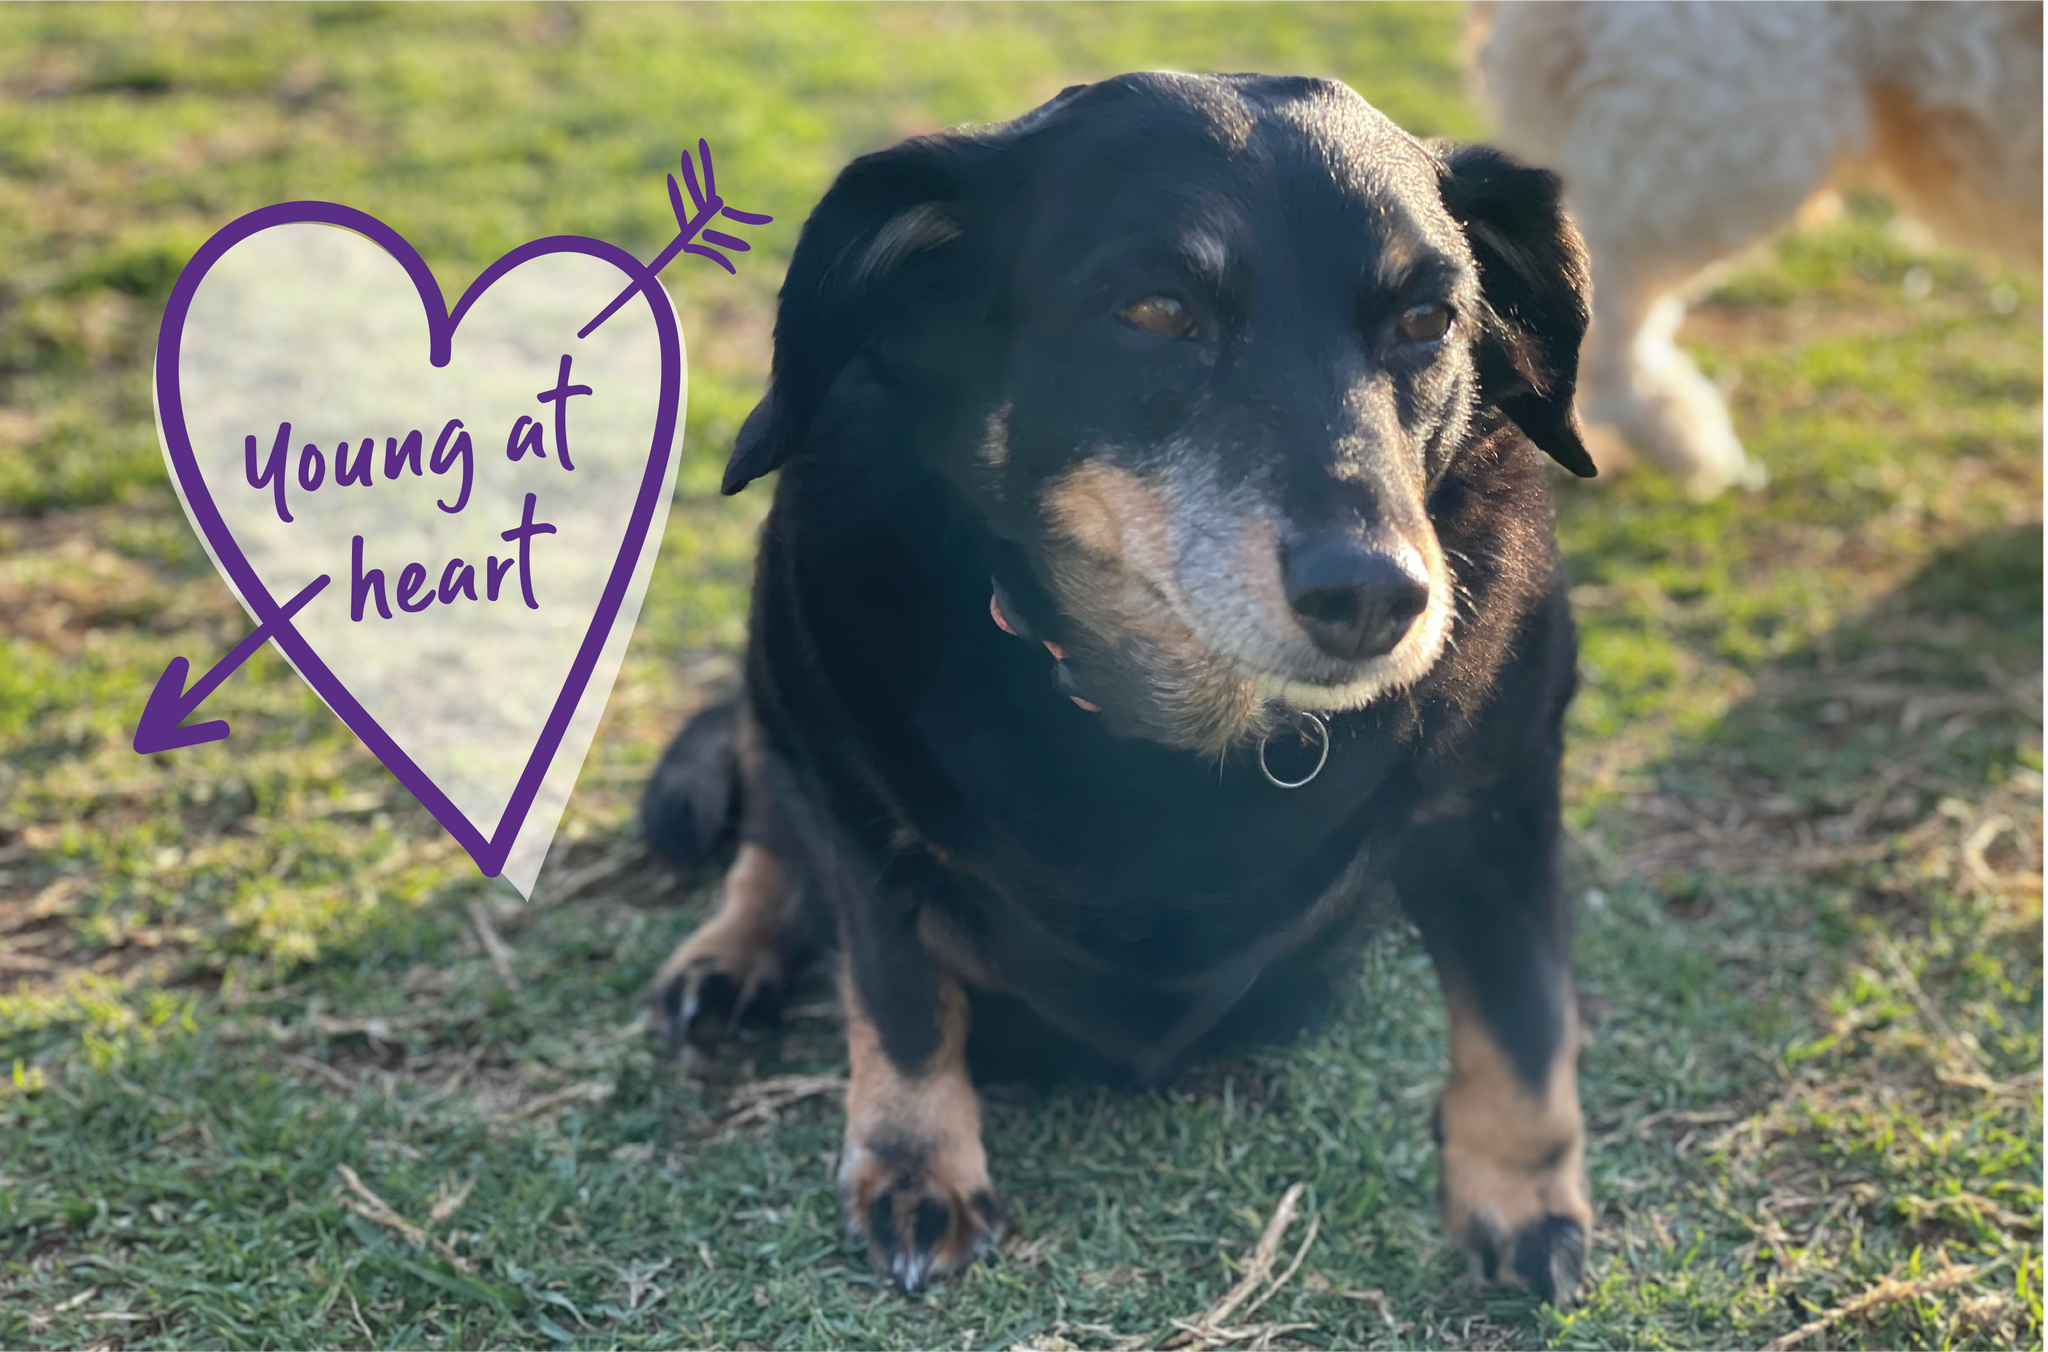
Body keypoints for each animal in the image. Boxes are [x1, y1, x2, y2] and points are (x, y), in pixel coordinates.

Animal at [638, 71, 1597, 1302]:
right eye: (1154, 311)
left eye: (1430, 321)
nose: (1379, 594)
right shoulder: (864, 812)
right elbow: (898, 998)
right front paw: (915, 1165)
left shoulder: (1497, 801)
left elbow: (1521, 1021)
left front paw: (1522, 1196)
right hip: (775, 677)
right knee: (769, 814)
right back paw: (730, 956)